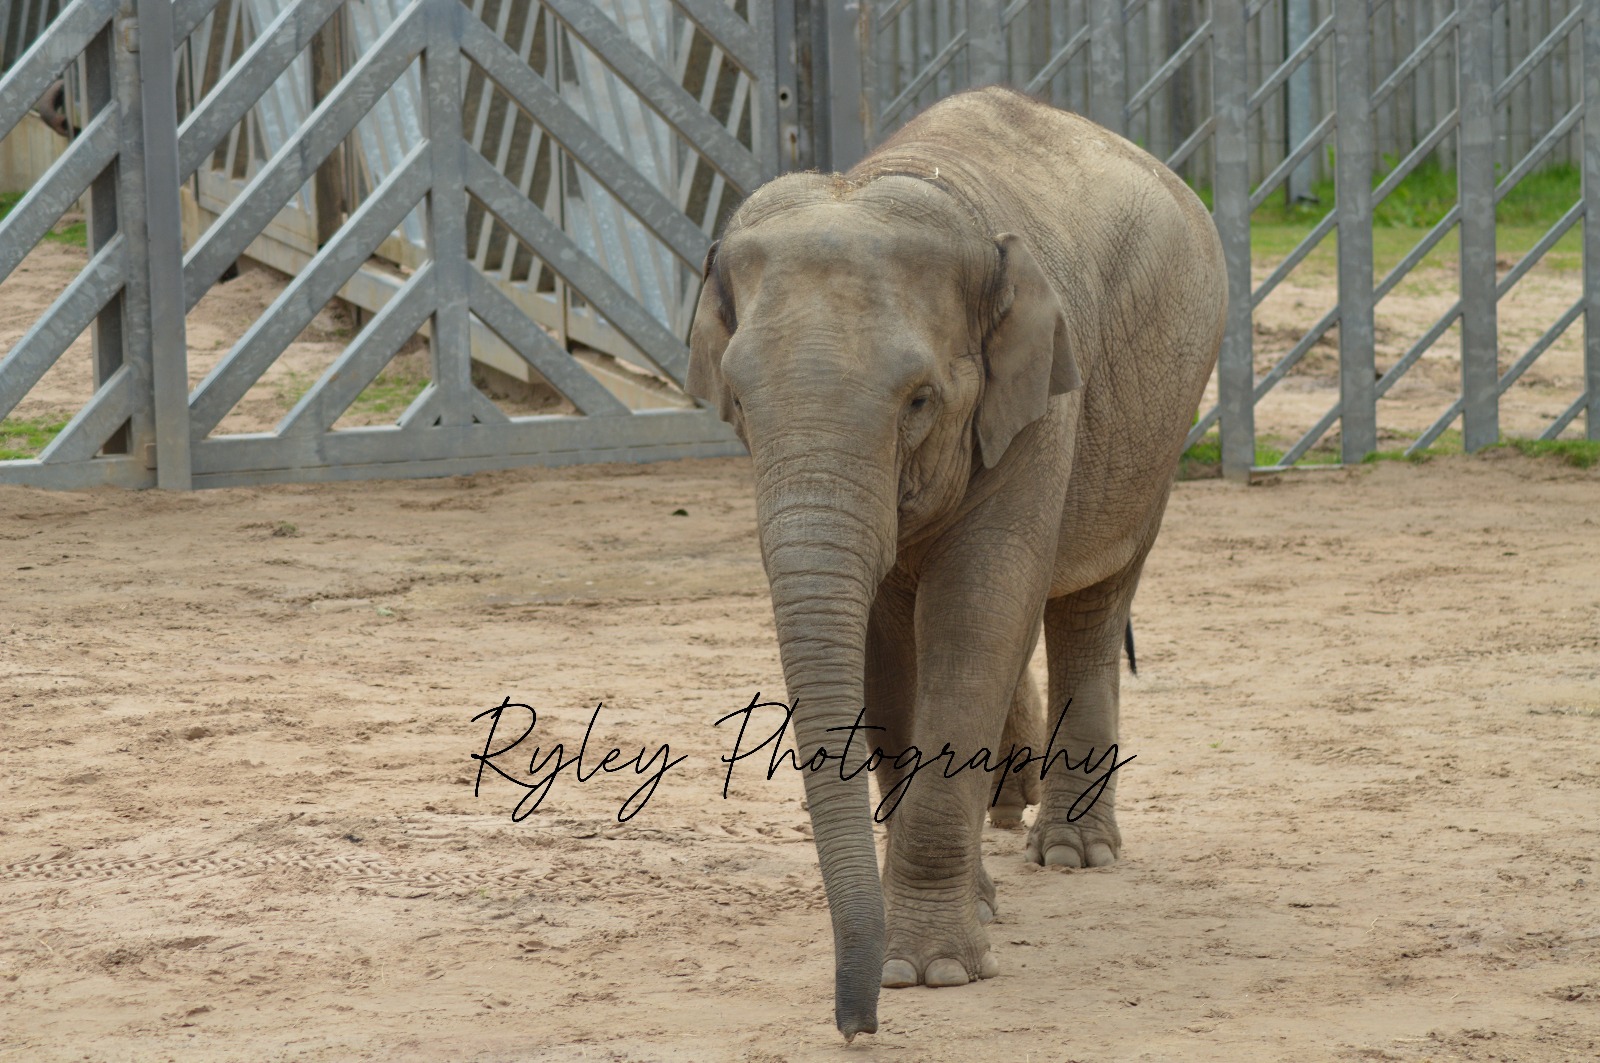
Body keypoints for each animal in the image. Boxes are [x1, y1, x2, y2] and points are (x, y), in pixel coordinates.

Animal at [687, 86, 1227, 1039]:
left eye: (920, 400)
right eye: (740, 402)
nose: (855, 1025)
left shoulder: (1040, 403)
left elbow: (977, 613)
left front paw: (928, 971)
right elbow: (882, 654)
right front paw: (954, 926)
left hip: (1163, 412)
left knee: (1091, 599)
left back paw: (1073, 852)